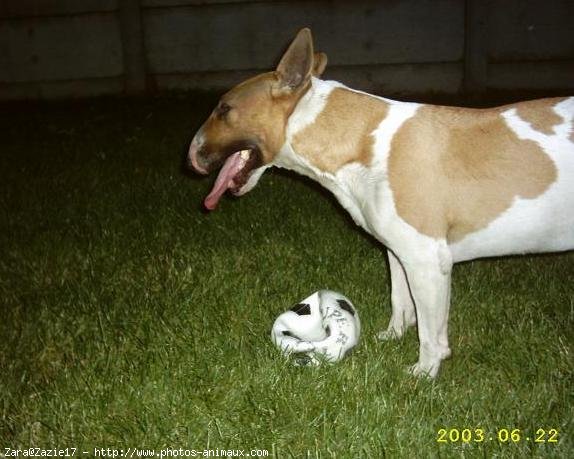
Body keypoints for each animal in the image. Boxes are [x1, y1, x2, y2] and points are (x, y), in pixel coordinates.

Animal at [190, 27, 574, 378]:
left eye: (224, 109)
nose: (190, 154)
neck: (362, 141)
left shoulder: (427, 261)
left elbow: (431, 333)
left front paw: (424, 373)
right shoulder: (399, 252)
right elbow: (400, 300)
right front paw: (393, 335)